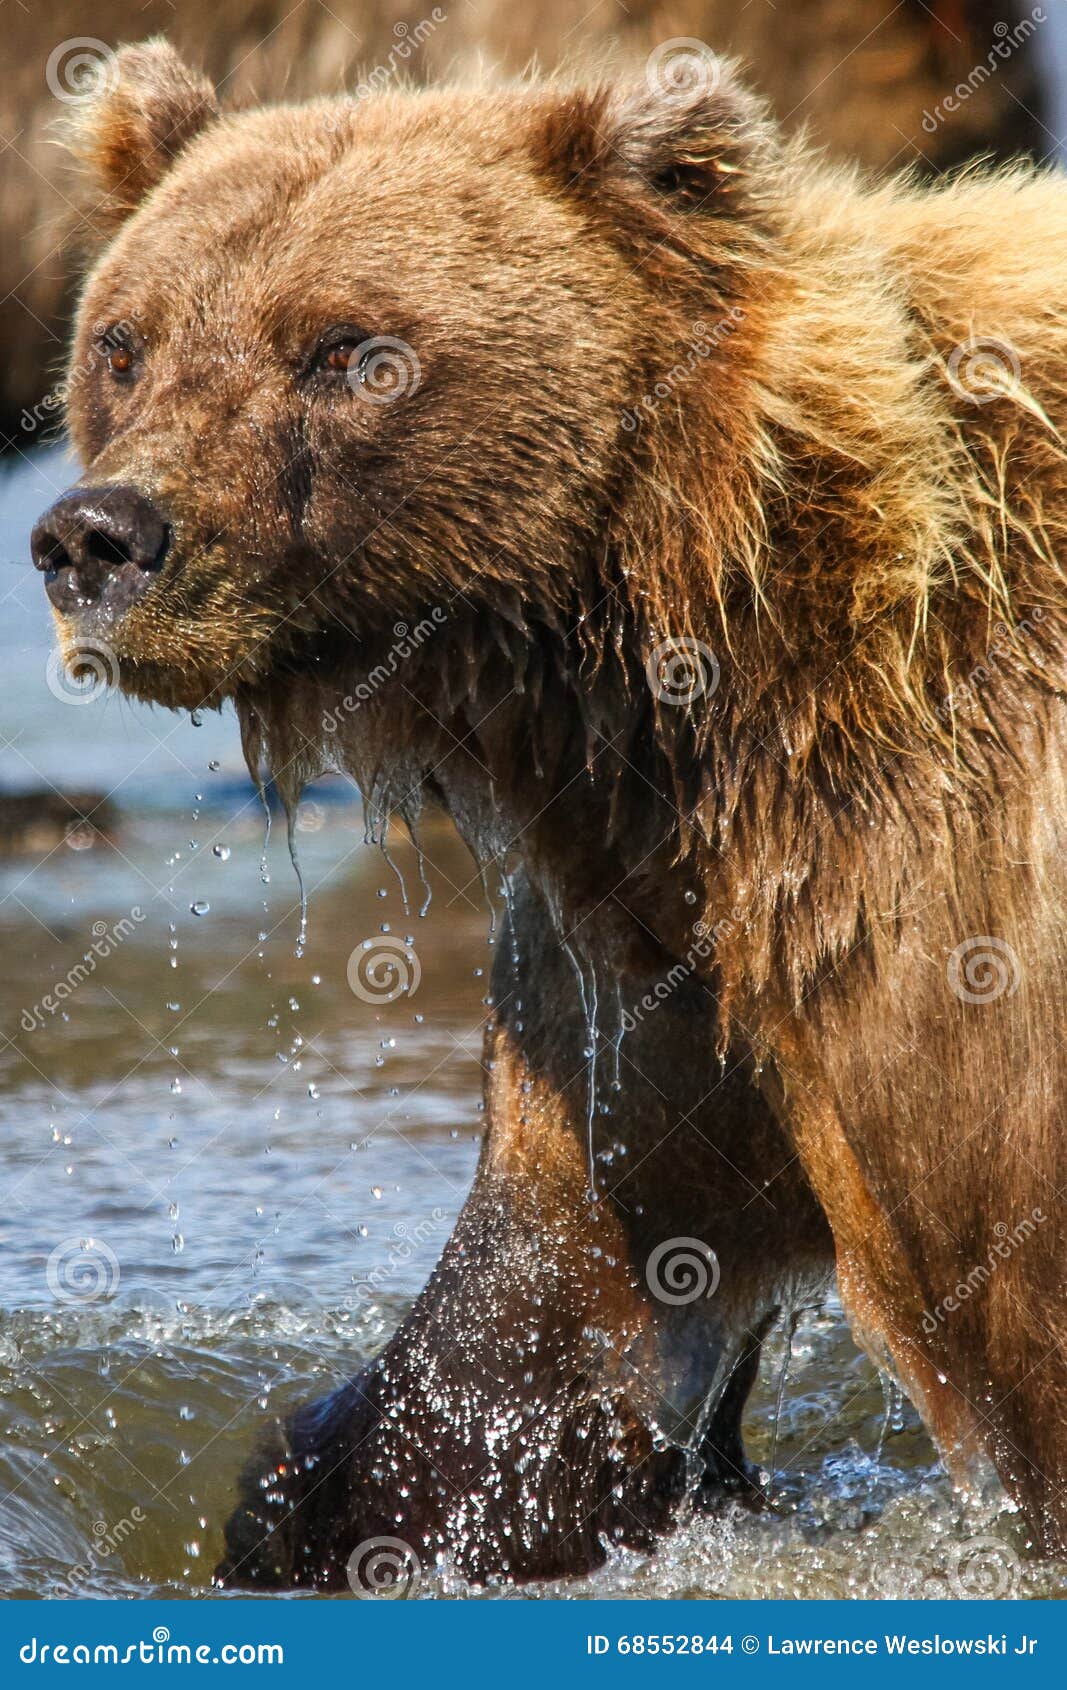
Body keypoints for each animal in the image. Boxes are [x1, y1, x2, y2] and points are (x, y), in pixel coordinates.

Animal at [29, 39, 1067, 1588]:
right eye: (125, 342)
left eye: (344, 349)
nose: (98, 537)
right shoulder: (654, 956)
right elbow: (545, 1326)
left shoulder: (939, 895)